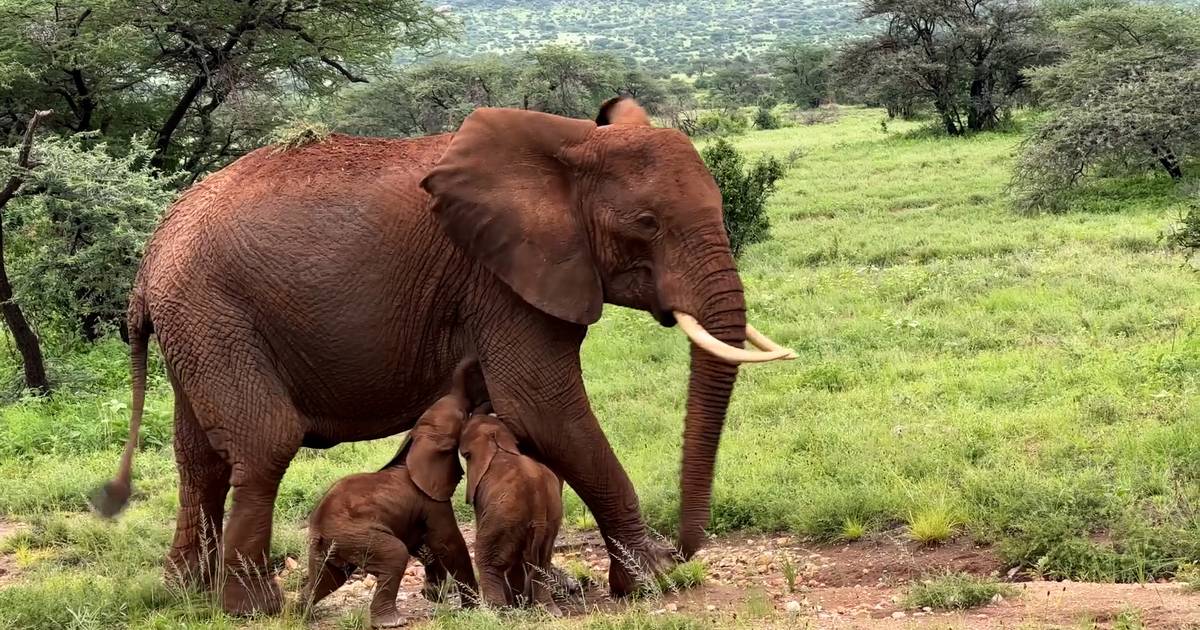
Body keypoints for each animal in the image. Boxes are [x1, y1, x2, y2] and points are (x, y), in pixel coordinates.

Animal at [302, 357, 480, 624]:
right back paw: (392, 622)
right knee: (395, 554)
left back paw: (299, 614)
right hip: (357, 535)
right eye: (462, 414)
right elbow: (447, 542)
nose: (473, 359)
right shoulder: (431, 501)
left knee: (327, 579)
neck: (418, 439)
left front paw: (433, 595)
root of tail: (317, 529)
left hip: (331, 546)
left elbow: (422, 543)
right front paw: (474, 607)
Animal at [463, 412, 566, 614]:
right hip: (549, 518)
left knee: (488, 560)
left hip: (504, 516)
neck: (495, 440)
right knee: (542, 561)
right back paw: (548, 611)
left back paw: (496, 612)